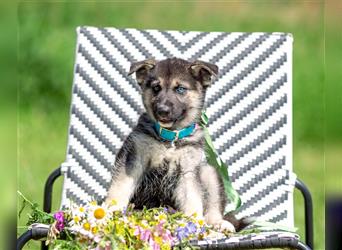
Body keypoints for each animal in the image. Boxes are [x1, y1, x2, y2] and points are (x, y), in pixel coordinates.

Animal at [106, 57, 238, 231]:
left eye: (180, 89)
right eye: (156, 88)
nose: (162, 110)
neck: (171, 138)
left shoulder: (188, 170)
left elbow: (193, 199)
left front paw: (195, 224)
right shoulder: (133, 158)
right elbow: (120, 187)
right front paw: (110, 211)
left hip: (209, 172)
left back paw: (218, 223)